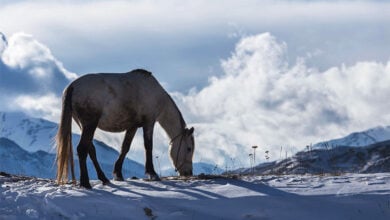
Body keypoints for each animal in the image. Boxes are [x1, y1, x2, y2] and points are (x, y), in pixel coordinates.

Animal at [54, 69, 195, 189]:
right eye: (189, 149)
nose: (188, 173)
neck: (155, 92)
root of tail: (72, 86)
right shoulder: (149, 123)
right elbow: (148, 146)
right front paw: (152, 173)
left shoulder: (132, 127)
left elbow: (125, 147)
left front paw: (118, 173)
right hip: (89, 125)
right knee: (82, 149)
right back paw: (85, 183)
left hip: (84, 126)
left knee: (91, 149)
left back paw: (104, 178)